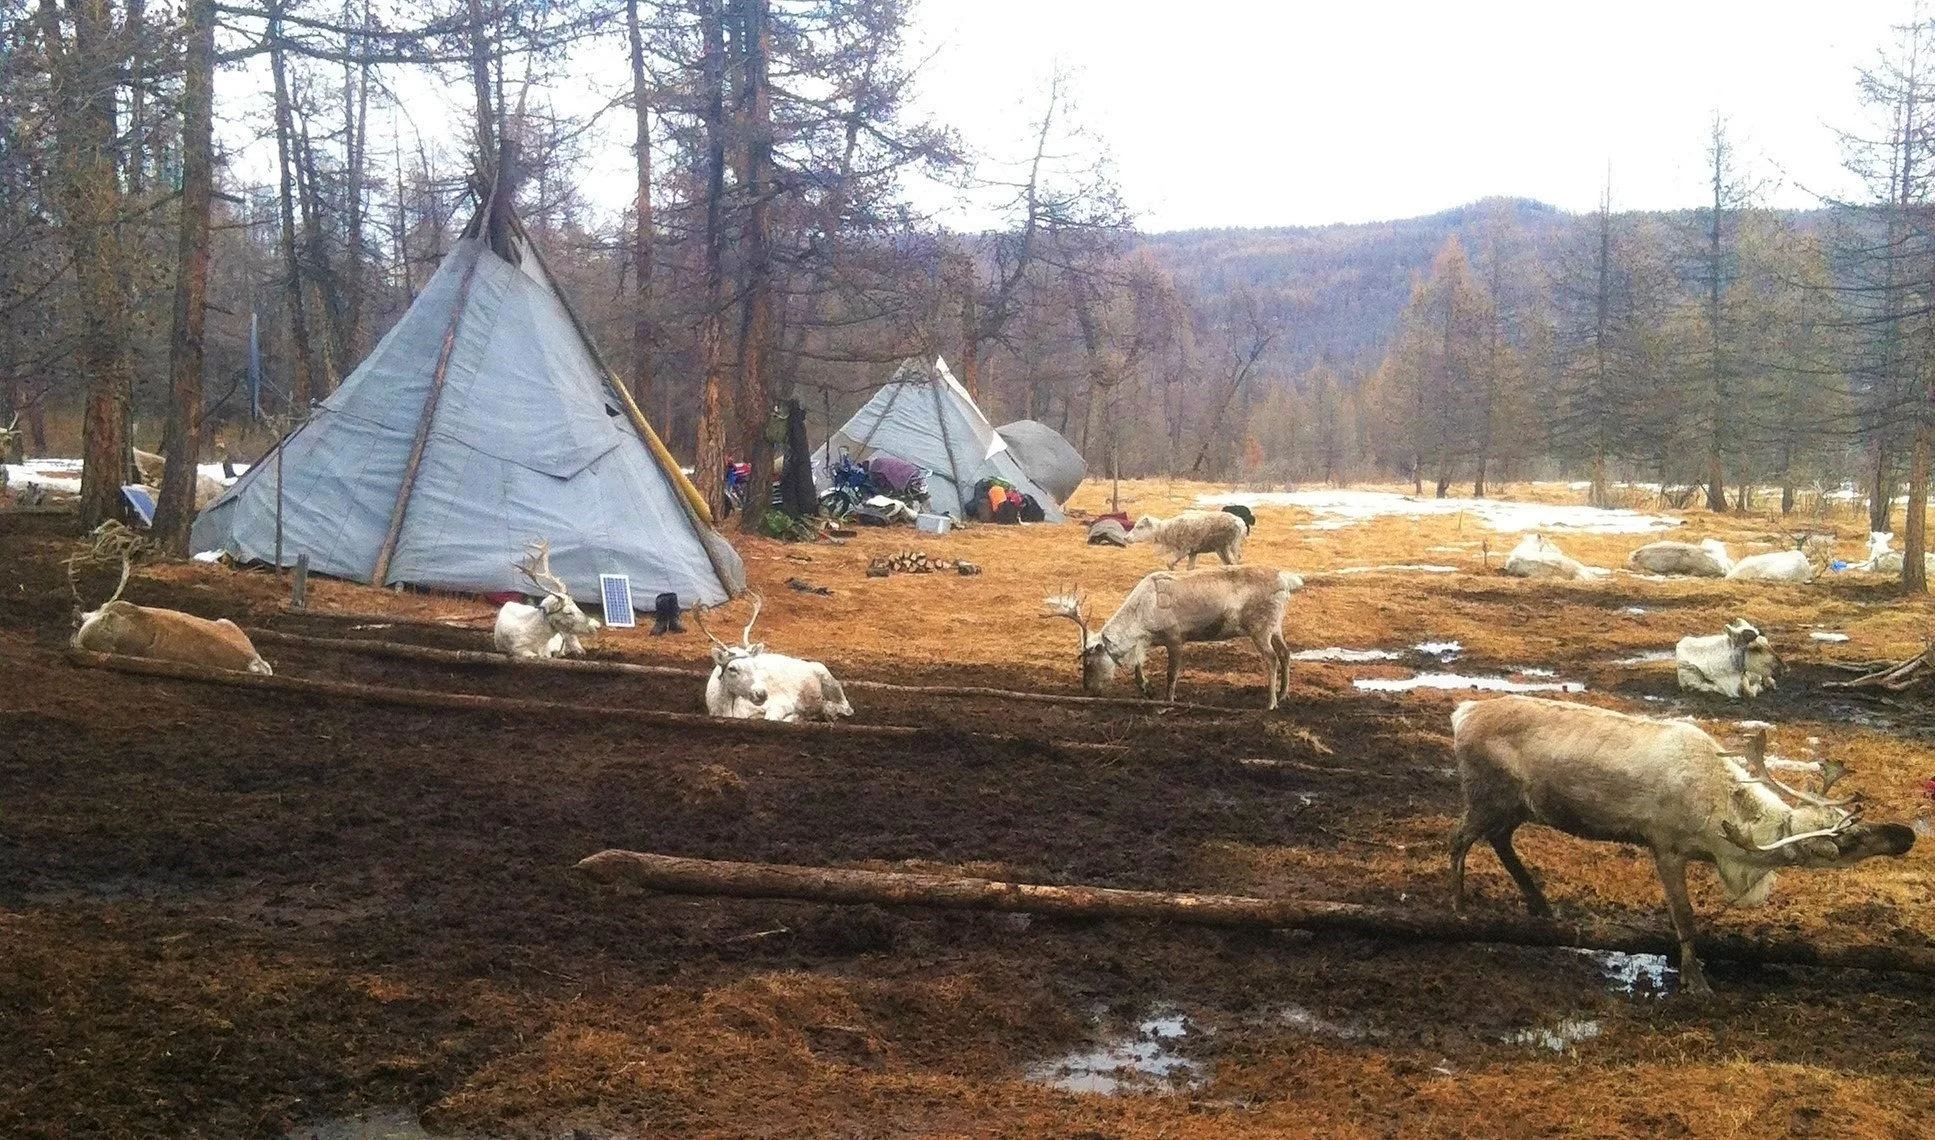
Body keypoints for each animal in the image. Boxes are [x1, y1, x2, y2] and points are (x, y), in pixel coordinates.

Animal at [697, 594, 853, 722]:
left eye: (755, 665)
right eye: (732, 668)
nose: (761, 694)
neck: (729, 710)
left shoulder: (782, 703)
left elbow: (775, 717)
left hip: (826, 675)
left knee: (846, 708)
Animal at [1045, 565, 1303, 708]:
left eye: (1088, 663)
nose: (1088, 691)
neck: (1142, 617)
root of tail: (1286, 581)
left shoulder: (1175, 637)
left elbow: (1172, 674)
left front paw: (1167, 702)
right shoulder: (1148, 641)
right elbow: (1138, 668)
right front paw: (1147, 689)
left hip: (1260, 627)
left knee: (1271, 658)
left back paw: (1271, 703)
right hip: (1276, 626)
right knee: (1285, 653)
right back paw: (1283, 694)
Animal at [1450, 696, 1914, 996]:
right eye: (1849, 840)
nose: (1906, 835)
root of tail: (1460, 714)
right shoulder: (1666, 845)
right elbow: (1685, 917)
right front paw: (1696, 981)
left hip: (1517, 805)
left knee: (1499, 839)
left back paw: (1541, 906)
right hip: (1486, 793)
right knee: (1459, 840)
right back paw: (1459, 908)